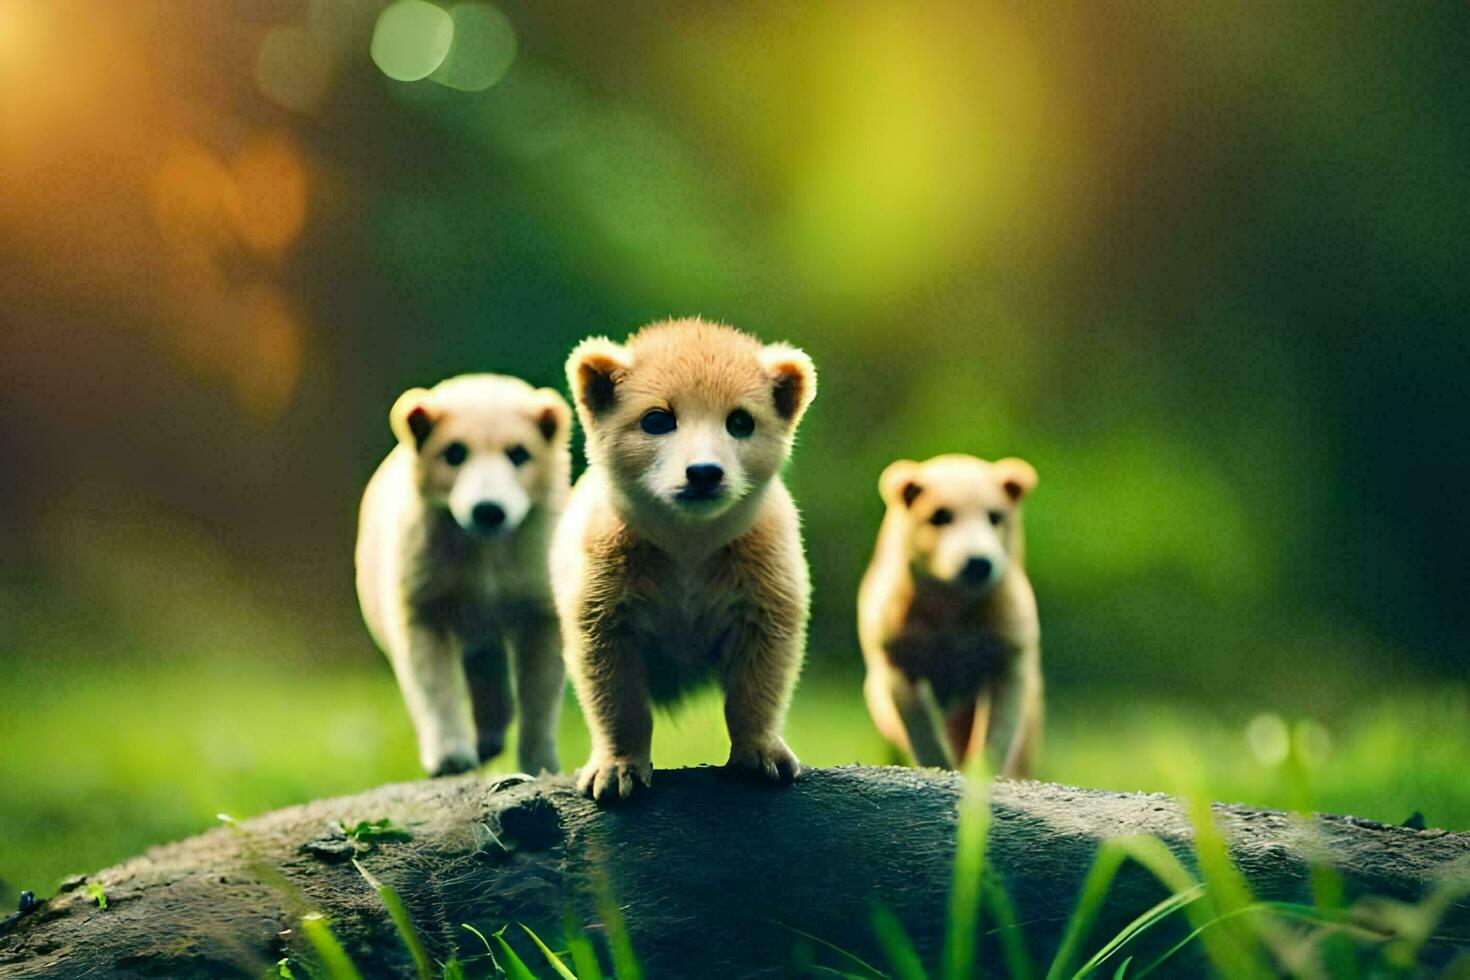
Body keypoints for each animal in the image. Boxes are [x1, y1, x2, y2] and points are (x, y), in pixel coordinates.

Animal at [352, 371, 570, 775]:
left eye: (519, 452)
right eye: (454, 452)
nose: (488, 510)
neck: (485, 549)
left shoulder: (534, 561)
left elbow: (542, 672)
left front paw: (540, 762)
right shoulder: (424, 565)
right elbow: (428, 666)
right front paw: (451, 757)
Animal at [555, 321, 823, 805]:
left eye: (741, 420)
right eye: (657, 418)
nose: (703, 473)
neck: (687, 544)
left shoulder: (761, 566)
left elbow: (763, 668)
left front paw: (763, 756)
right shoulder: (606, 571)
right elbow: (610, 678)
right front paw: (616, 771)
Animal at [858, 455, 1046, 775]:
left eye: (995, 516)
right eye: (939, 516)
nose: (978, 563)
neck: (953, 613)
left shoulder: (1009, 649)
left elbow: (999, 729)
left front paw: (983, 773)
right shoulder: (897, 650)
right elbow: (918, 723)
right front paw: (940, 768)